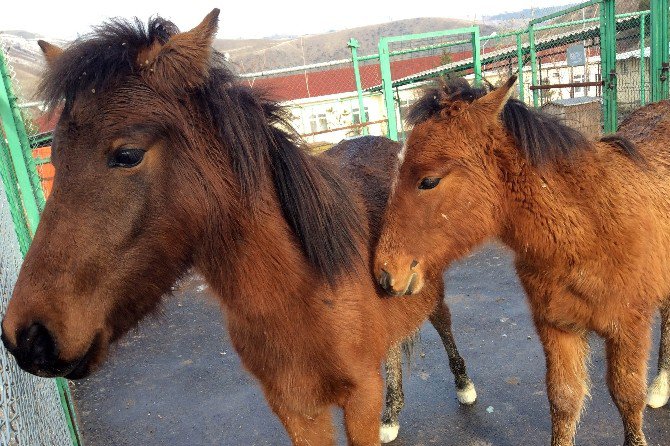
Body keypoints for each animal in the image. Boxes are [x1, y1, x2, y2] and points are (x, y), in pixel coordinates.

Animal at [0, 10, 478, 446]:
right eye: (54, 157)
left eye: (127, 154)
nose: (28, 337)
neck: (301, 295)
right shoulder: (296, 410)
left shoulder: (359, 397)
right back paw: (392, 415)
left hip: (429, 292)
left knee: (443, 321)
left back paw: (463, 387)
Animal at [376, 75, 670, 444]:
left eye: (429, 180)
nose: (385, 272)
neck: (588, 231)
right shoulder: (557, 327)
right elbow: (564, 400)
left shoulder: (629, 329)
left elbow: (628, 399)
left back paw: (660, 386)